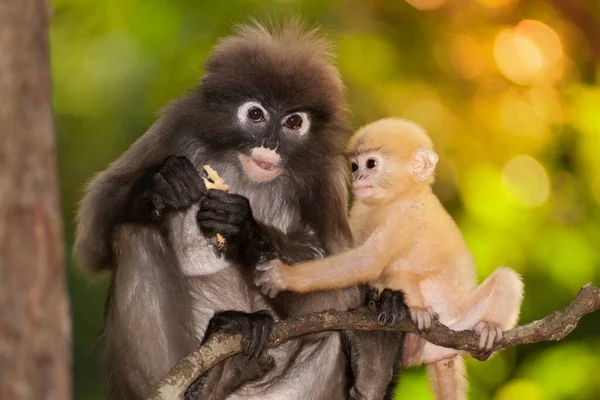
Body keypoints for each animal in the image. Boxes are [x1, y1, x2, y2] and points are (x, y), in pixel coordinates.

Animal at [255, 119, 524, 400]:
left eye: (371, 164)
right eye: (354, 166)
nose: (357, 177)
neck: (399, 197)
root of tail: (438, 352)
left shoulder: (405, 214)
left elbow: (369, 262)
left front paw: (285, 276)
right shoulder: (359, 210)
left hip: (462, 324)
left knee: (503, 278)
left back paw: (485, 328)